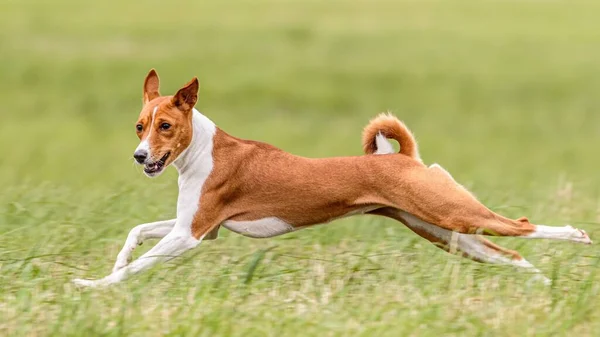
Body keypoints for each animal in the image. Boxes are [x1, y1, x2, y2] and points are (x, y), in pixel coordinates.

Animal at [71, 70, 592, 286]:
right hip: (446, 232)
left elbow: (138, 264)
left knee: (521, 226)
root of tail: (407, 159)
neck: (201, 151)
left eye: (165, 126)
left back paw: (578, 235)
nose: (140, 156)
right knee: (511, 253)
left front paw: (96, 286)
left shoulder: (191, 234)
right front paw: (116, 263)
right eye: (139, 125)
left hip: (451, 213)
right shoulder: (200, 229)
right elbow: (135, 234)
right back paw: (543, 283)